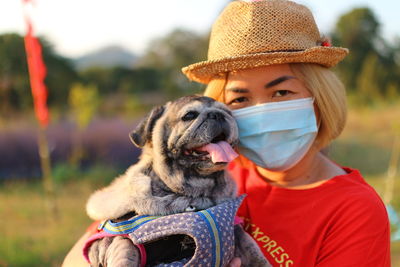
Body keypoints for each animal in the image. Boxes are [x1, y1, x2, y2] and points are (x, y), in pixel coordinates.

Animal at [85, 95, 270, 266]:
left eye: (228, 112)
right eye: (189, 115)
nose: (217, 115)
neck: (195, 194)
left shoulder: (237, 233)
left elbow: (253, 251)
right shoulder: (124, 239)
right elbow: (125, 251)